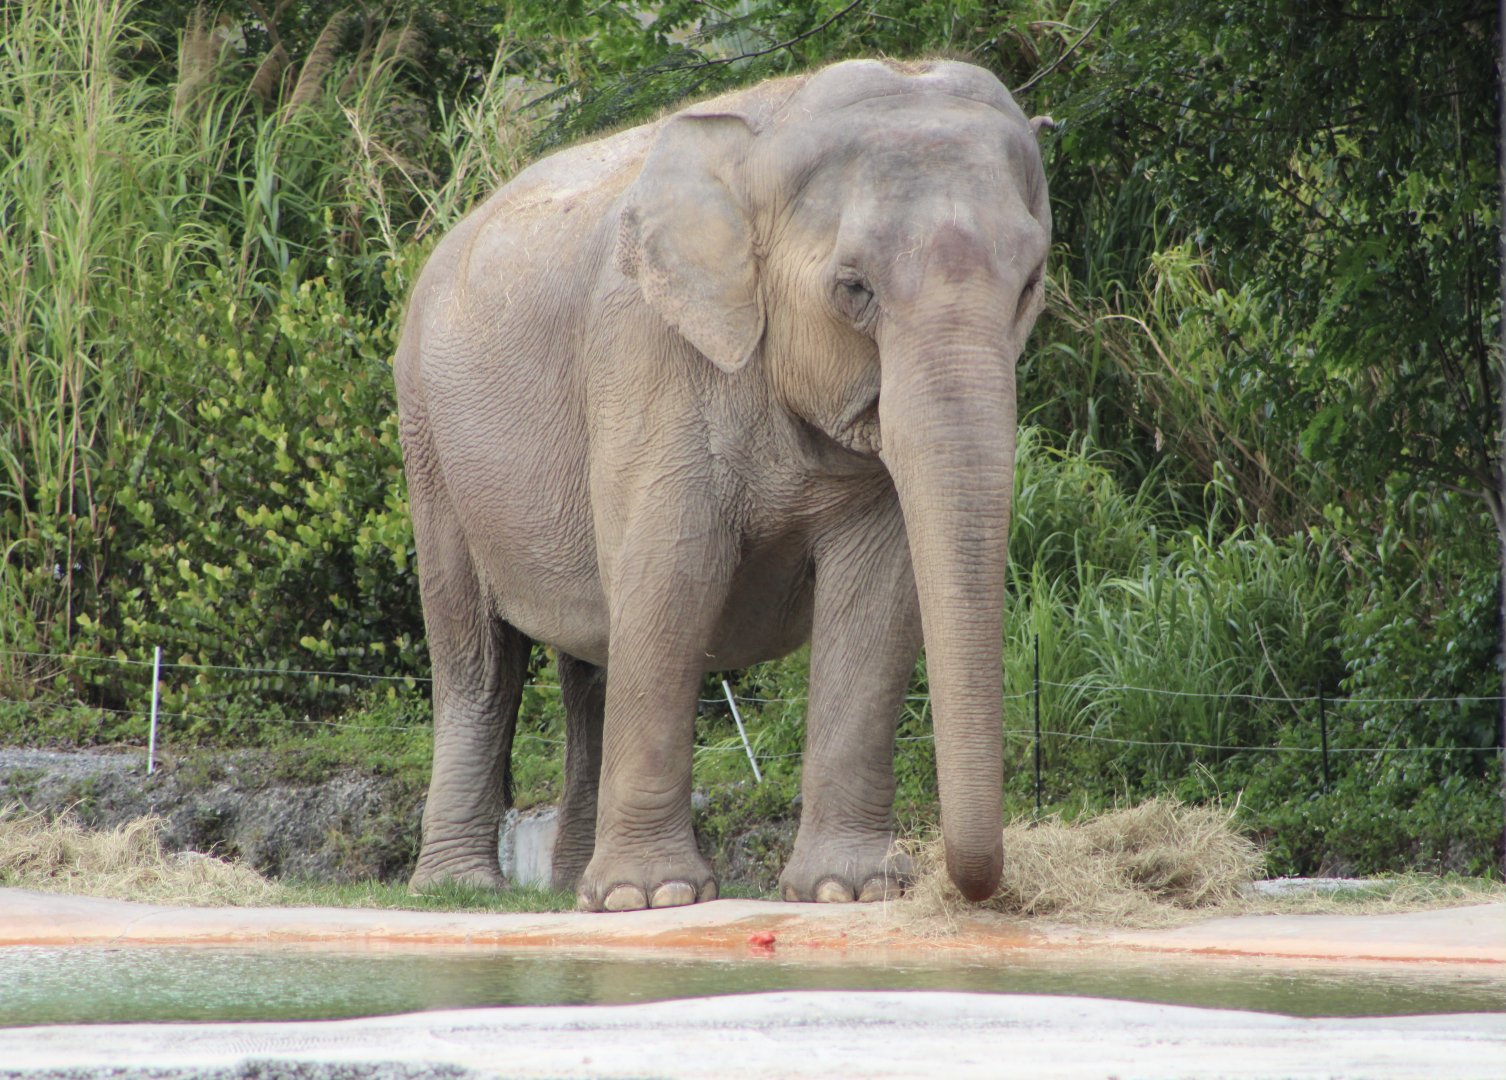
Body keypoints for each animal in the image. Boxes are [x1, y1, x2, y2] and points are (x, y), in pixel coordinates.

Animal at [394, 58, 1052, 912]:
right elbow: (673, 576)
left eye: (1032, 283)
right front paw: (653, 899)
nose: (958, 885)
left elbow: (878, 594)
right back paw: (462, 888)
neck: (765, 137)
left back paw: (569, 887)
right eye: (854, 288)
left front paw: (849, 891)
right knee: (479, 660)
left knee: (588, 664)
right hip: (427, 440)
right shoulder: (644, 355)